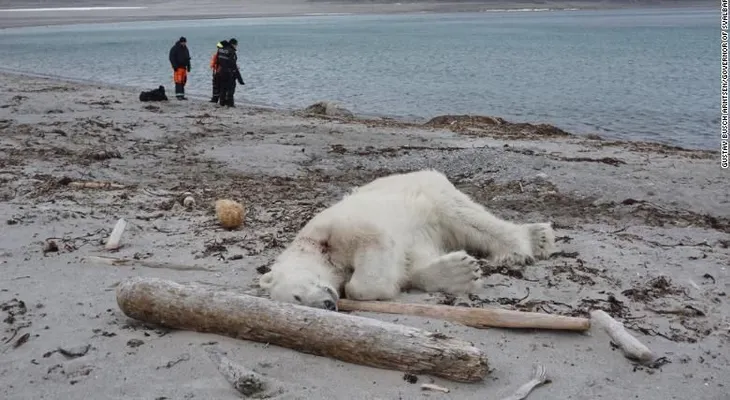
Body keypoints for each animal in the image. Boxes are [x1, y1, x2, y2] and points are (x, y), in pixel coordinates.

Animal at [259, 169, 557, 311]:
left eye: (297, 295)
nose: (328, 304)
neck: (314, 247)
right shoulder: (415, 241)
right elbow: (412, 263)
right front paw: (460, 271)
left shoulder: (337, 229)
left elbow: (370, 256)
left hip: (430, 193)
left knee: (468, 217)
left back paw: (530, 242)